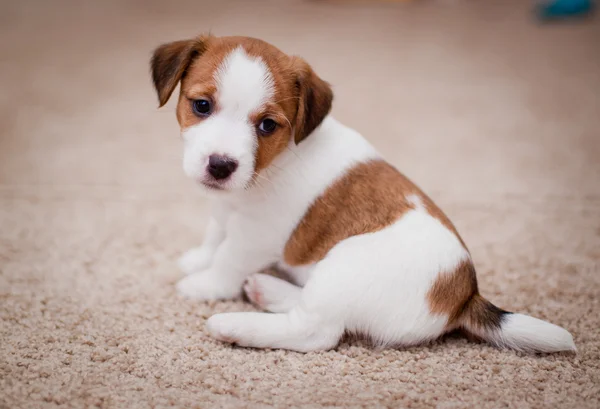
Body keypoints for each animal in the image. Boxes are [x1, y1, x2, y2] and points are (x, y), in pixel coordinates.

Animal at [150, 34, 576, 354]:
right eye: (201, 105)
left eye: (267, 125)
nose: (221, 165)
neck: (274, 163)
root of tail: (463, 297)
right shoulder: (226, 210)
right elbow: (215, 235)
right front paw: (197, 259)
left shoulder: (256, 235)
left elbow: (228, 259)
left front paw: (204, 285)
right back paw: (267, 289)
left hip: (341, 268)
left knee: (316, 331)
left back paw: (235, 324)